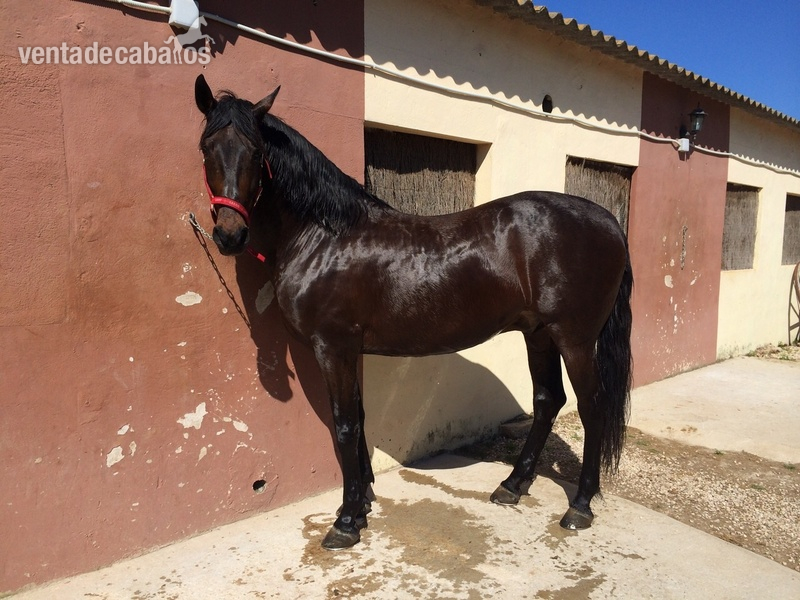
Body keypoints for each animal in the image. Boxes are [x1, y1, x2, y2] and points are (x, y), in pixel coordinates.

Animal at [193, 74, 633, 550]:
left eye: (256, 152)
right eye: (206, 147)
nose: (229, 235)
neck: (324, 236)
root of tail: (608, 221)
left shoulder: (333, 347)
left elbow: (343, 426)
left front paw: (345, 522)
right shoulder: (349, 350)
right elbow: (358, 418)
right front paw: (362, 502)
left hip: (574, 338)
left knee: (591, 407)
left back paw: (580, 506)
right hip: (538, 334)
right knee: (548, 399)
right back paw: (513, 485)